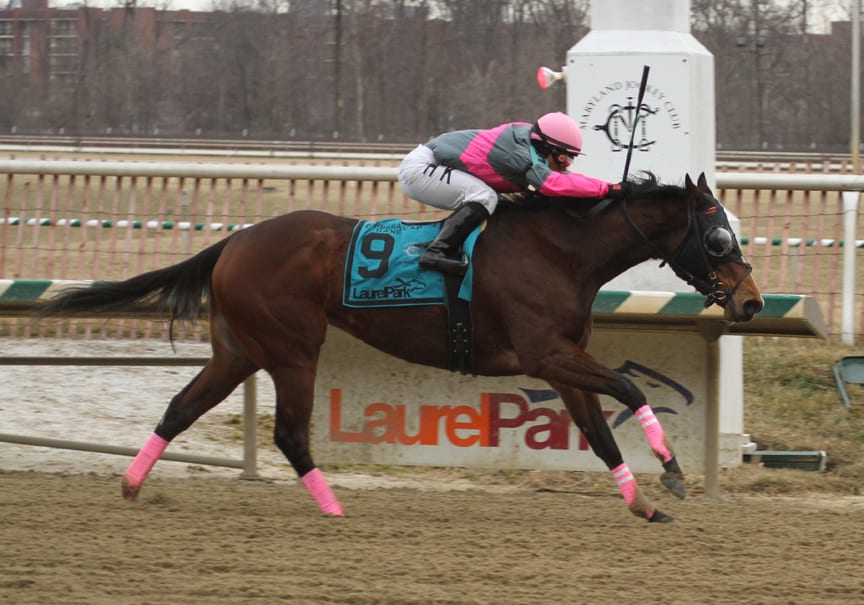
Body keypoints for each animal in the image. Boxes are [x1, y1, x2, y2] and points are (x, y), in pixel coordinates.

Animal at [37, 172, 764, 520]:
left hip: (237, 350)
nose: (752, 302)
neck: (560, 250)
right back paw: (335, 509)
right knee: (290, 434)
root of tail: (235, 241)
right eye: (718, 237)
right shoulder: (544, 354)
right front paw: (671, 471)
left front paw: (643, 501)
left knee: (179, 409)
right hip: (292, 348)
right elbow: (631, 386)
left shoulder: (560, 365)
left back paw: (132, 486)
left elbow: (601, 433)